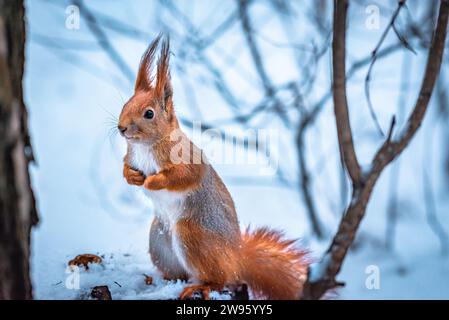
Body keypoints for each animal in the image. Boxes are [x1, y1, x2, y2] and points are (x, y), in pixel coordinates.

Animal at [117, 35, 310, 300]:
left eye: (149, 113)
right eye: (125, 103)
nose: (121, 128)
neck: (146, 146)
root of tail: (237, 258)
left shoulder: (187, 160)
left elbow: (183, 176)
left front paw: (152, 181)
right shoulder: (132, 156)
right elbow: (125, 168)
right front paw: (133, 178)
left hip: (193, 236)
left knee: (220, 279)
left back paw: (203, 286)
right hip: (159, 242)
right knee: (179, 273)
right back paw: (160, 280)